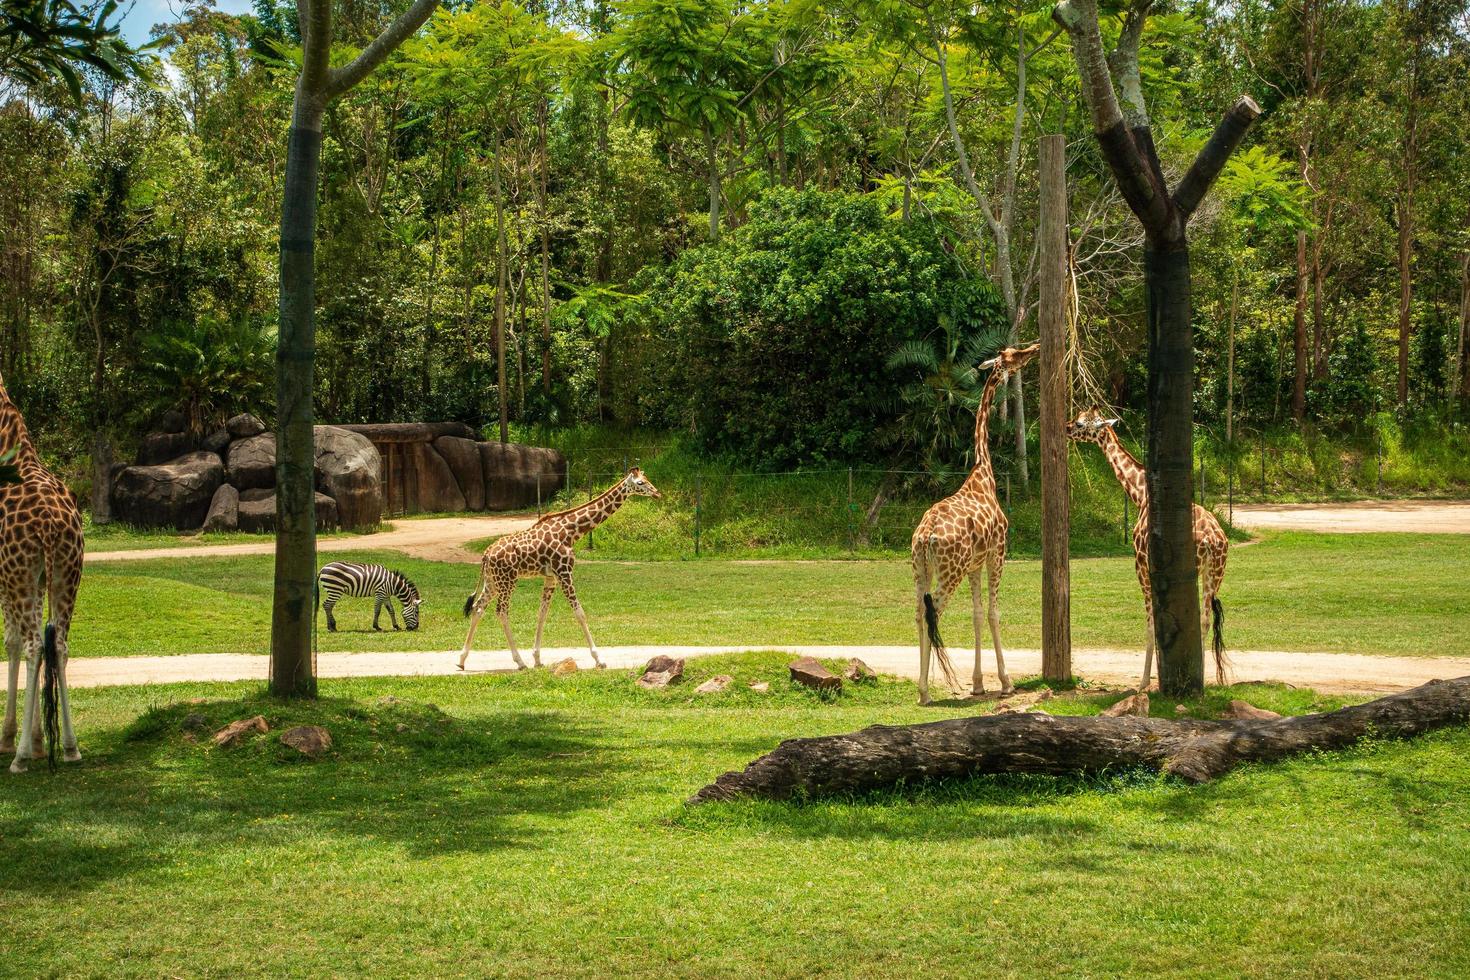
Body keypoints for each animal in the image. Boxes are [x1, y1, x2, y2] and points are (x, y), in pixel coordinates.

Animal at [461, 470, 664, 675]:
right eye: (640, 483)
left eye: (647, 480)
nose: (657, 493)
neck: (571, 531)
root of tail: (486, 555)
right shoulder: (564, 572)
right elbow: (580, 613)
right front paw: (599, 660)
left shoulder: (551, 578)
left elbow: (542, 613)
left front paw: (537, 659)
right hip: (507, 581)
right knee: (501, 611)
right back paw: (519, 662)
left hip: (492, 582)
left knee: (478, 608)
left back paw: (462, 660)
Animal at [911, 345, 1040, 705]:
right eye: (1013, 354)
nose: (1034, 349)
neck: (984, 472)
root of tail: (925, 536)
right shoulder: (998, 554)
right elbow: (995, 613)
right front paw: (1006, 683)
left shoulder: (974, 565)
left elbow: (977, 614)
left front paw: (979, 683)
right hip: (949, 571)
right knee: (934, 612)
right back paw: (928, 690)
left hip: (920, 569)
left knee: (918, 613)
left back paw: (925, 688)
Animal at [1064, 411, 1234, 693]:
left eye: (1079, 423)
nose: (1065, 428)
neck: (1141, 495)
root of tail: (1212, 539)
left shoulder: (1142, 565)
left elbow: (1150, 623)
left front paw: (1144, 682)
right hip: (1215, 571)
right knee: (1205, 619)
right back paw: (1200, 677)